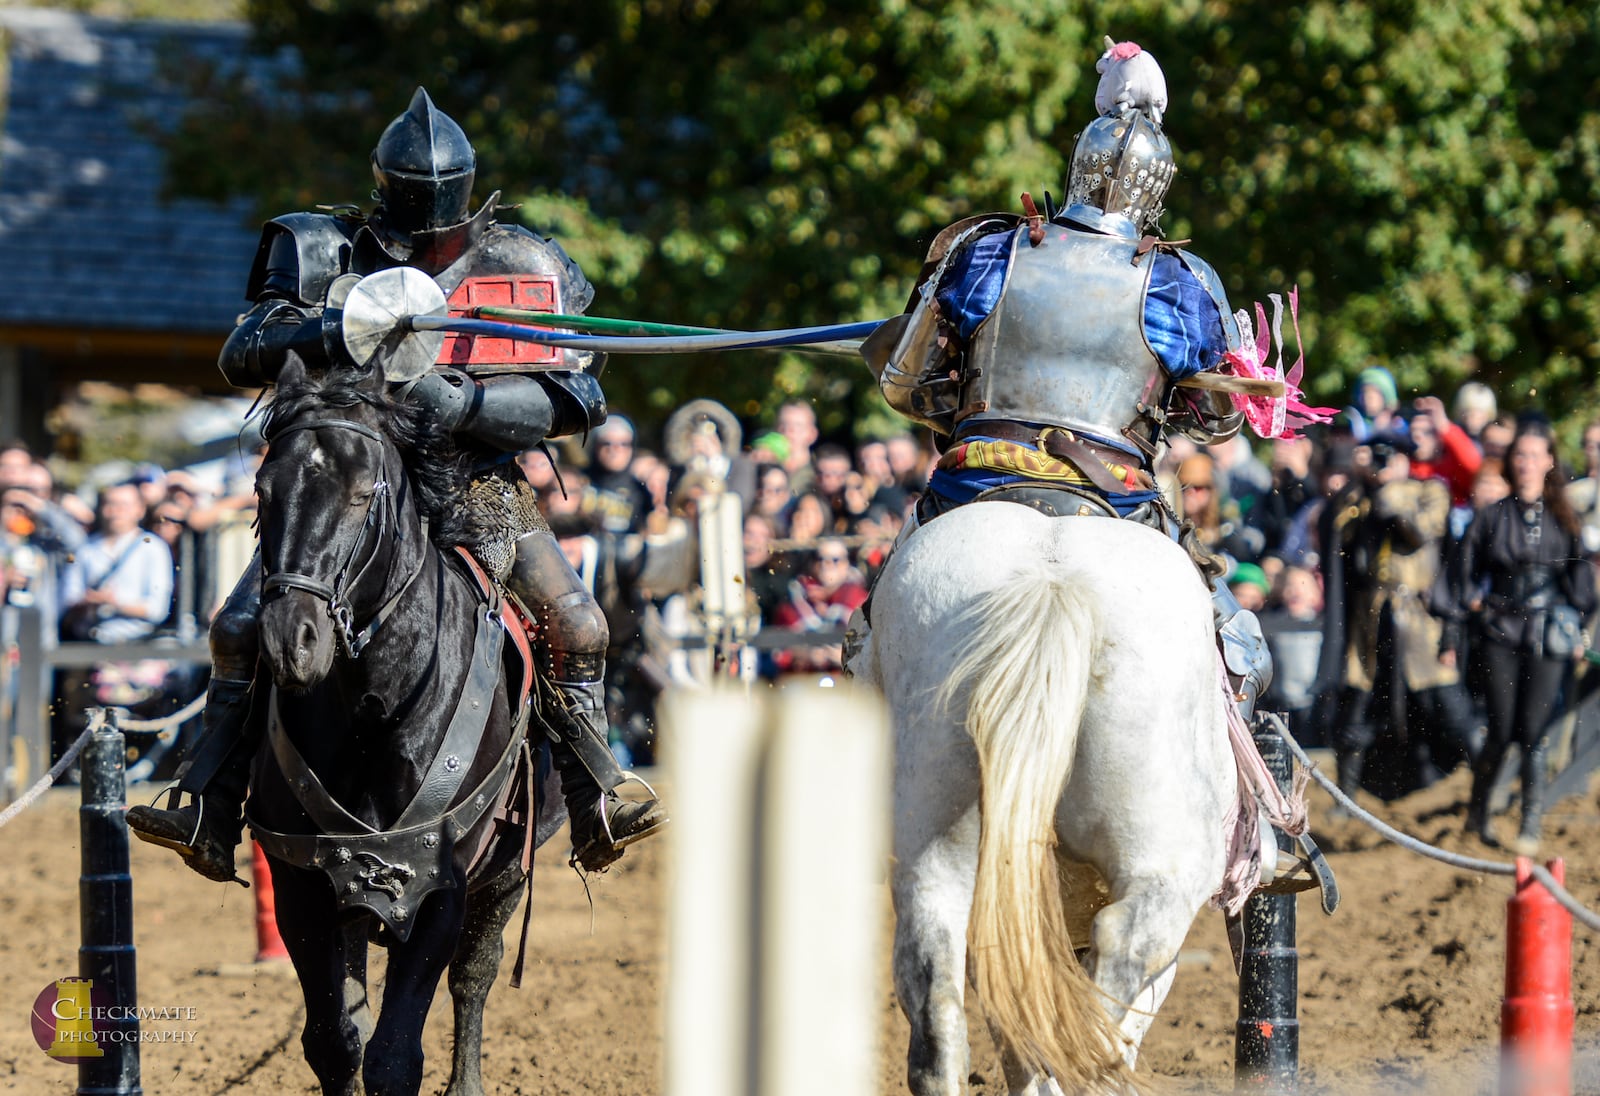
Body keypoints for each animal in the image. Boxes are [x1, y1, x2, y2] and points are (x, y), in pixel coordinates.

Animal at [243, 358, 569, 1094]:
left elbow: (396, 1054)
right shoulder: (305, 887)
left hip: (507, 878)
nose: (290, 642)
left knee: (474, 978)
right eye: (263, 490)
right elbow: (338, 1040)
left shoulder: (440, 891)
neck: (375, 712)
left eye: (363, 494)